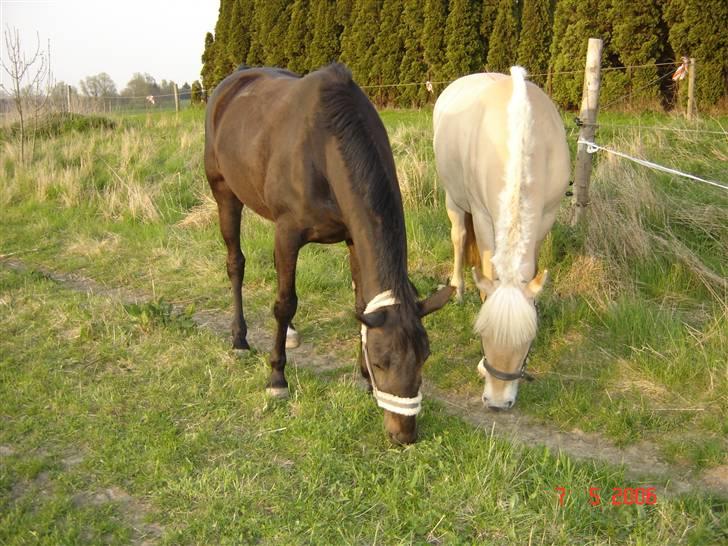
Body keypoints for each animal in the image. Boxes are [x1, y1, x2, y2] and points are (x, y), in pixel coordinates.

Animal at [205, 63, 452, 444]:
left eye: (424, 358)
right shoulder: (288, 233)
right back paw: (240, 339)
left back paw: (289, 333)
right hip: (224, 193)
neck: (323, 147)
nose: (404, 434)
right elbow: (284, 302)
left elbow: (359, 303)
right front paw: (276, 378)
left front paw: (363, 380)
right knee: (236, 265)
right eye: (381, 362)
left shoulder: (352, 236)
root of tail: (234, 80)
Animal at [432, 66, 568, 408]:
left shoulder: (546, 217)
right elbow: (487, 269)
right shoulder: (482, 216)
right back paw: (458, 288)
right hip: (454, 200)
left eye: (527, 341)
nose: (496, 402)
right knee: (458, 238)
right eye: (482, 335)